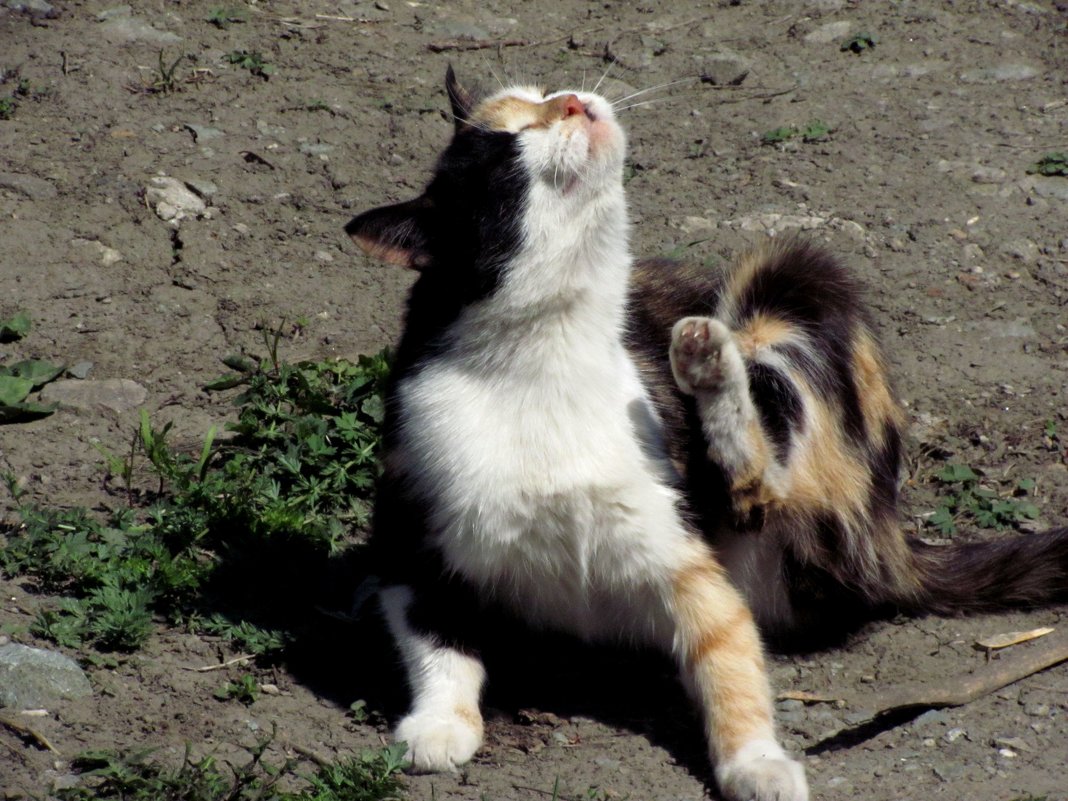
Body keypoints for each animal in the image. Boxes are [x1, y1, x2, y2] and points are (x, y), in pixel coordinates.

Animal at [348, 68, 1068, 801]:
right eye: (503, 151)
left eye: (543, 95)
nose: (574, 101)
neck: (546, 358)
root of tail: (896, 541)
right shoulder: (410, 529)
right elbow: (436, 638)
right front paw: (439, 722)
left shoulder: (684, 559)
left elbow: (730, 658)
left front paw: (756, 760)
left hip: (789, 280)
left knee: (761, 483)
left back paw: (709, 363)